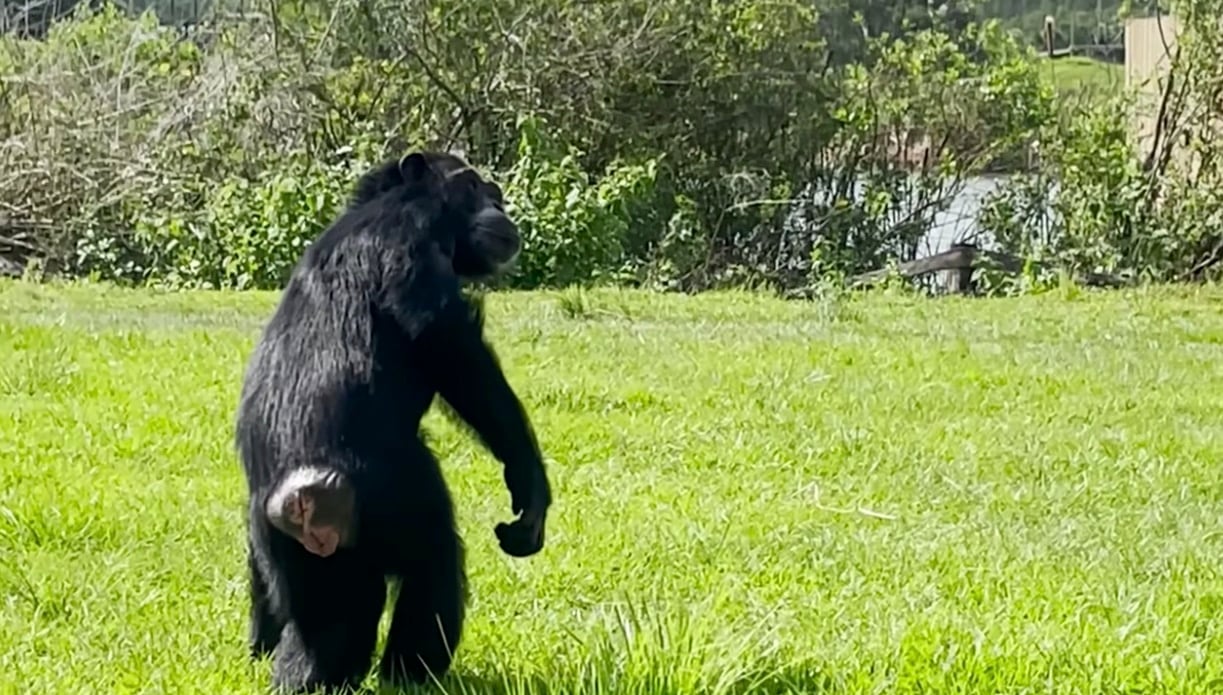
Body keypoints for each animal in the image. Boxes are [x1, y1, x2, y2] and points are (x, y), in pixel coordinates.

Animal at [232, 149, 555, 690]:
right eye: (472, 186)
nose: (498, 204)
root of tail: (300, 493)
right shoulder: (414, 248)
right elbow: (457, 357)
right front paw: (529, 486)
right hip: (388, 499)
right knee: (433, 558)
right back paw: (412, 674)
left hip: (281, 539)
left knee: (321, 619)